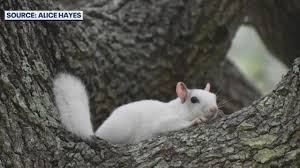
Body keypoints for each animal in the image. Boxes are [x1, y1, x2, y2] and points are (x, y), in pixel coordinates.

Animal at [53, 73, 218, 144]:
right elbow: (167, 125)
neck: (181, 109)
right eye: (194, 99)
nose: (214, 109)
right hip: (122, 129)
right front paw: (196, 120)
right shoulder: (162, 121)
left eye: (214, 96)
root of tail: (98, 133)